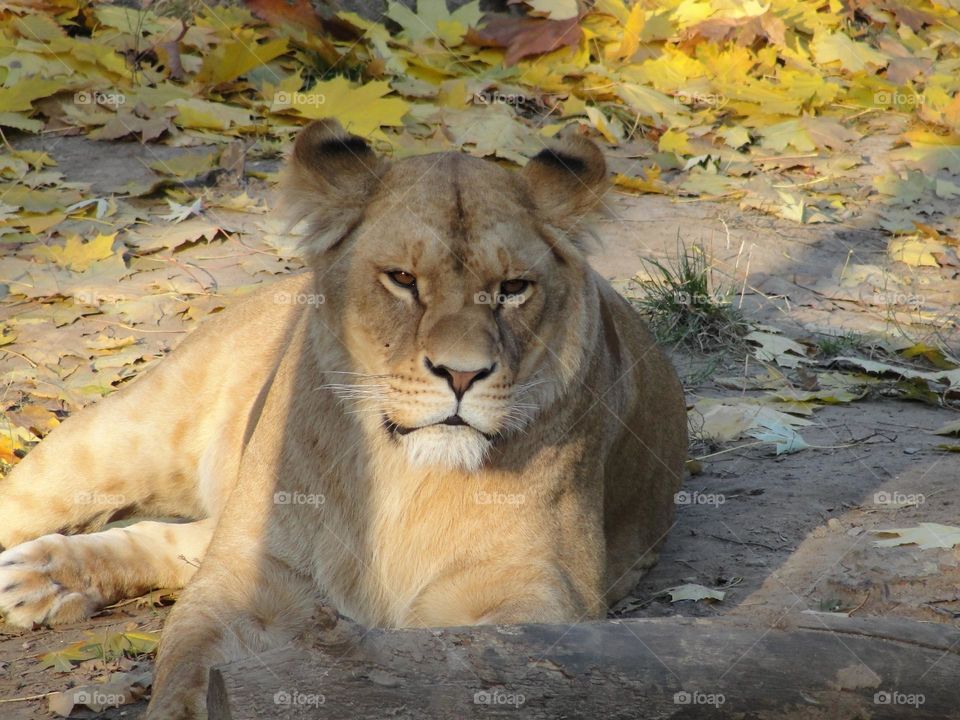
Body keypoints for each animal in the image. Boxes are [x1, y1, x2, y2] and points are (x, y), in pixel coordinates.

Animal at [0, 119, 687, 718]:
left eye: (514, 288)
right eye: (403, 279)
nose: (463, 375)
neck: (404, 474)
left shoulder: (540, 597)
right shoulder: (244, 584)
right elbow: (185, 669)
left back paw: (43, 579)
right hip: (121, 437)